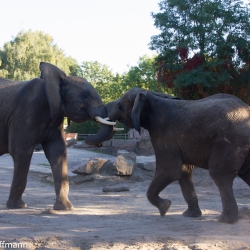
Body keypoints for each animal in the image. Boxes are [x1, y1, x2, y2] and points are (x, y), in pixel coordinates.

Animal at [0, 62, 115, 209]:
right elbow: (21, 152)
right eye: (85, 95)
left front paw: (65, 208)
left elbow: (58, 151)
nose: (87, 139)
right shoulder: (24, 115)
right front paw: (18, 206)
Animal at [105, 87, 250, 223]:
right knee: (245, 174)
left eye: (120, 106)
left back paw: (225, 220)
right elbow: (183, 171)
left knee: (219, 175)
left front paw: (165, 208)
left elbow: (170, 171)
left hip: (230, 142)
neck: (150, 95)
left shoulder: (163, 133)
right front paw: (190, 215)